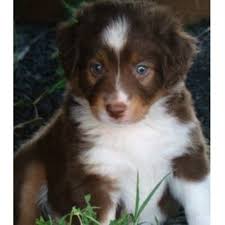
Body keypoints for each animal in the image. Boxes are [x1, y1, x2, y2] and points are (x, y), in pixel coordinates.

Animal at [14, 0, 209, 225]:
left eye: (142, 69)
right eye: (96, 67)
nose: (116, 109)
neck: (135, 129)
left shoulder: (187, 157)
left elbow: (201, 210)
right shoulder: (94, 177)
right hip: (31, 166)